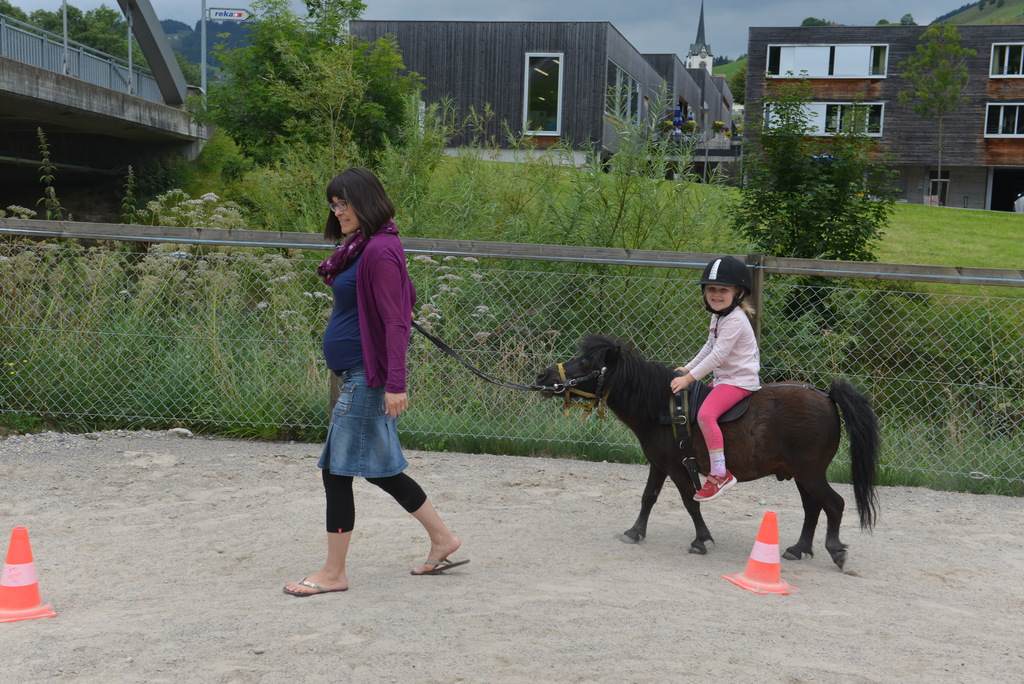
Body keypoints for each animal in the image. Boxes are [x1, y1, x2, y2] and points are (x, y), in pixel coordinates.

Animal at [535, 334, 879, 570]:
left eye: (586, 364)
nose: (543, 376)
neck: (661, 406)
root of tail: (827, 396)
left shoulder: (676, 466)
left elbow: (690, 501)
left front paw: (701, 539)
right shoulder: (659, 464)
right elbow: (648, 497)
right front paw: (634, 532)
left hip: (809, 472)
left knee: (833, 504)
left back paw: (835, 549)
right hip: (801, 474)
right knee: (813, 508)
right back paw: (798, 548)